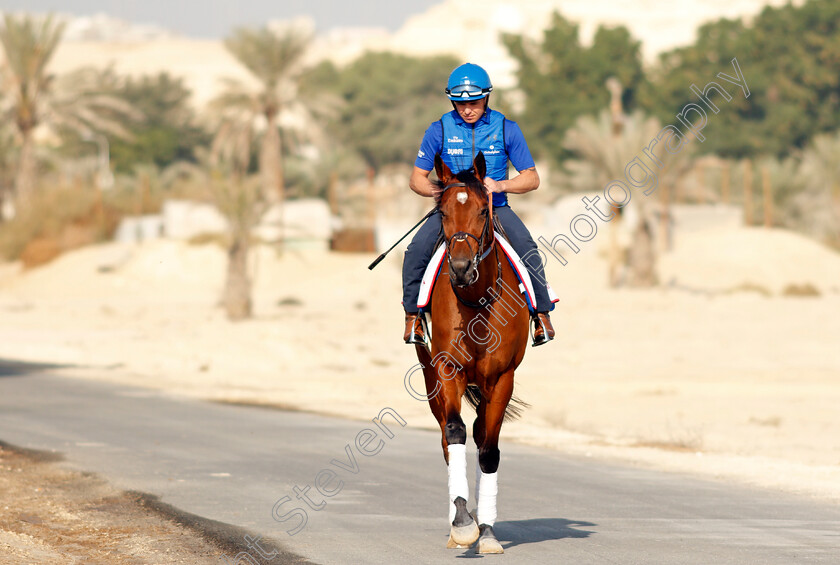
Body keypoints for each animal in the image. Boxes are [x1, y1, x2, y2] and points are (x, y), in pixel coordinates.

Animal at [416, 152, 528, 552]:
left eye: (483, 210)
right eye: (443, 212)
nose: (461, 269)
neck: (477, 298)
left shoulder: (502, 377)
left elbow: (489, 449)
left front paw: (488, 532)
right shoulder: (448, 369)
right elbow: (454, 433)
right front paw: (463, 523)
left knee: (480, 436)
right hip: (430, 374)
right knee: (449, 438)